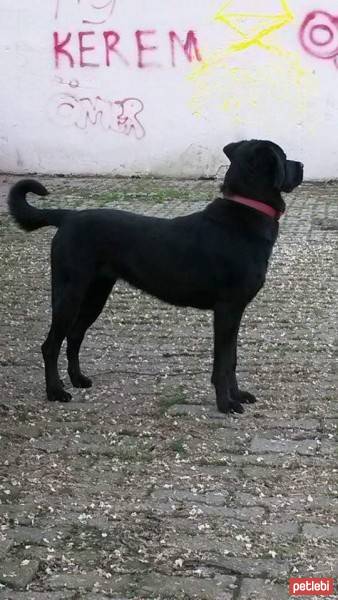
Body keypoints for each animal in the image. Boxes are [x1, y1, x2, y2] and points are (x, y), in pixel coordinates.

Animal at [7, 140, 304, 412]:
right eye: (284, 156)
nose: (301, 165)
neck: (245, 212)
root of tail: (68, 218)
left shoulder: (235, 311)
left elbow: (231, 359)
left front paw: (238, 395)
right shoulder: (227, 309)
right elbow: (222, 362)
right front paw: (226, 403)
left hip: (95, 294)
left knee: (75, 336)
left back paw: (78, 379)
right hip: (70, 293)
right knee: (51, 344)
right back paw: (55, 391)